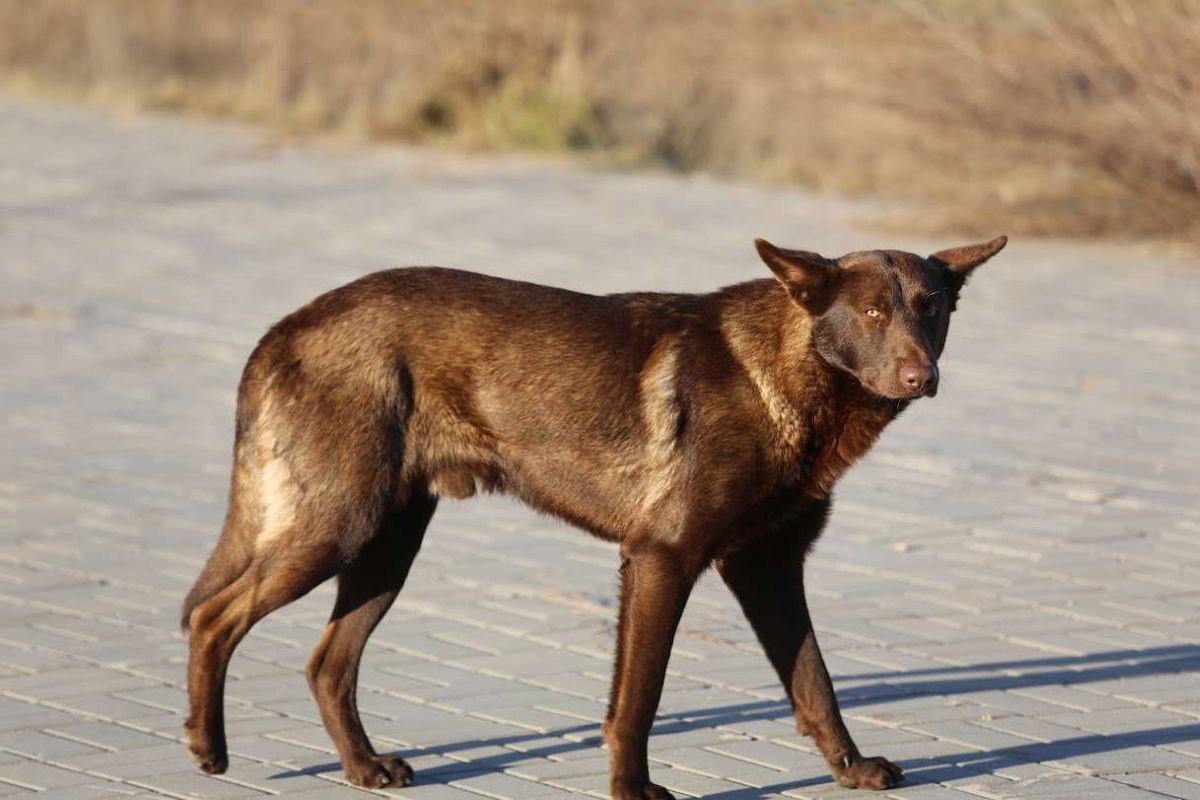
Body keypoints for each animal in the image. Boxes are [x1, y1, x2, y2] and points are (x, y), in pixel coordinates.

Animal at [182, 235, 1006, 798]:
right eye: (872, 312)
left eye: (930, 311)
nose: (922, 376)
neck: (786, 374)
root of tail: (288, 327)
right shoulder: (661, 558)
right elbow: (638, 697)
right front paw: (632, 791)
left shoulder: (766, 568)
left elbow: (815, 685)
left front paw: (851, 768)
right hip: (337, 528)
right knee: (213, 618)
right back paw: (207, 747)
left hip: (389, 546)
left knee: (328, 663)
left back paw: (361, 767)